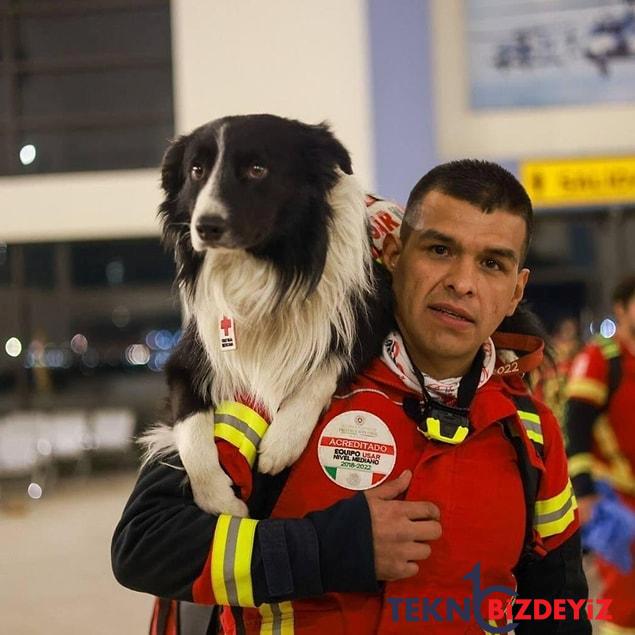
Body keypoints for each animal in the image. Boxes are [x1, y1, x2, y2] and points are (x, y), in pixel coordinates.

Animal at [142, 115, 396, 516]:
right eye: (196, 170)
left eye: (257, 169)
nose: (205, 226)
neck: (263, 270)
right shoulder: (187, 357)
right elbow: (190, 430)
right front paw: (221, 501)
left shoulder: (371, 316)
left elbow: (325, 367)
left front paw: (283, 440)